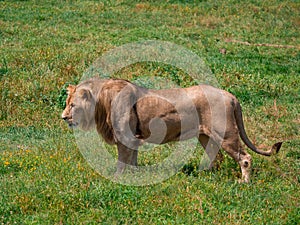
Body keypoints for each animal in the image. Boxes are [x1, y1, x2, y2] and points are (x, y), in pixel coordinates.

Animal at [62, 77, 282, 183]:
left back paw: (243, 182)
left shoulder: (125, 136)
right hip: (205, 135)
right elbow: (132, 159)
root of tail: (231, 96)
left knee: (245, 157)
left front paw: (117, 179)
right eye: (67, 104)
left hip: (226, 133)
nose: (63, 117)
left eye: (72, 105)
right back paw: (203, 175)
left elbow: (122, 161)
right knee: (213, 154)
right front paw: (135, 177)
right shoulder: (134, 138)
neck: (100, 103)